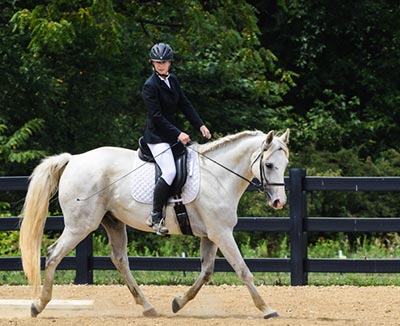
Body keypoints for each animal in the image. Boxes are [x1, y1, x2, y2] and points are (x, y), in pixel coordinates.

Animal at [18, 129, 290, 320]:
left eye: (285, 164)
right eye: (268, 165)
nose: (279, 202)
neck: (218, 176)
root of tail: (73, 160)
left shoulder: (210, 235)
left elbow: (206, 272)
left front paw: (178, 302)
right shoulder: (221, 233)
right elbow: (243, 270)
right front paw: (267, 308)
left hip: (113, 222)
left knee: (120, 260)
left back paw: (148, 307)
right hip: (80, 226)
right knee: (53, 254)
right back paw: (38, 305)